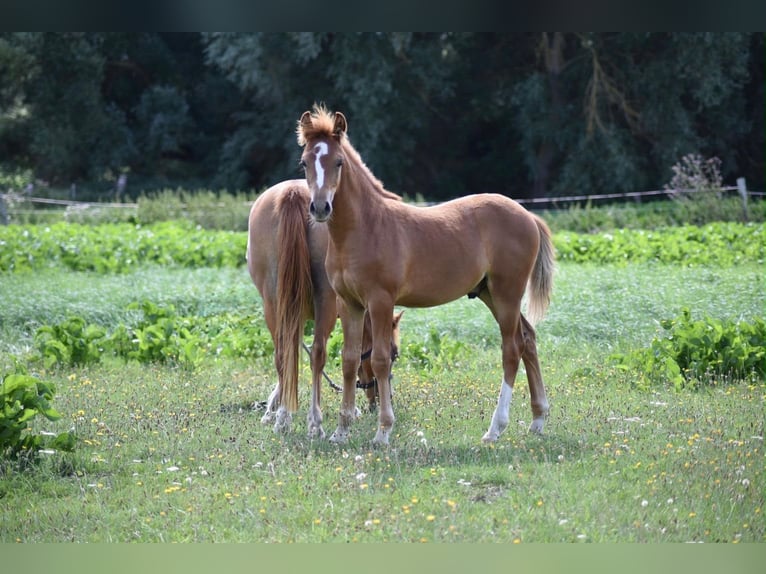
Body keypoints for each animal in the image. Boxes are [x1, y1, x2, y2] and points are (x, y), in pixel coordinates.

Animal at [246, 179, 403, 438]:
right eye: (394, 353)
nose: (382, 398)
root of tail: (293, 192)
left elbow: (291, 355)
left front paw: (274, 409)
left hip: (272, 302)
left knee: (281, 354)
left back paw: (284, 419)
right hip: (326, 303)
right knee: (318, 355)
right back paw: (315, 423)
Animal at [296, 104, 555, 446]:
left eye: (338, 161)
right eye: (304, 162)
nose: (320, 207)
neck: (364, 228)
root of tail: (528, 215)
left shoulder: (380, 301)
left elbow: (379, 359)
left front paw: (383, 431)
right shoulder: (348, 303)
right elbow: (350, 360)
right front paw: (341, 431)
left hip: (507, 293)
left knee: (511, 349)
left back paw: (495, 429)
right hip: (488, 293)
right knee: (527, 339)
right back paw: (538, 419)